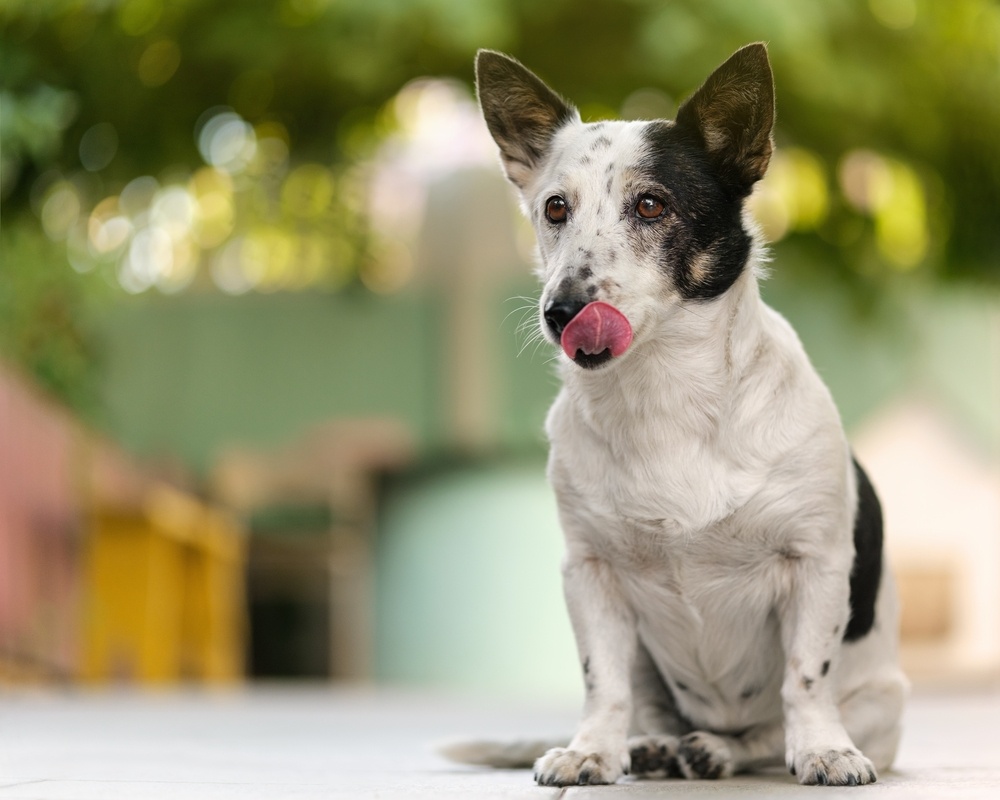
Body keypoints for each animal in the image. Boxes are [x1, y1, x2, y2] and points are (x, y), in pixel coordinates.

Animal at [442, 43, 912, 788]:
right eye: (555, 208)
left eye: (651, 204)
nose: (562, 311)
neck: (664, 395)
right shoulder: (590, 574)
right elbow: (601, 682)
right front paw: (590, 751)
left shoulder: (815, 565)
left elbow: (805, 679)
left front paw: (822, 749)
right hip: (646, 660)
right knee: (649, 707)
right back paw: (656, 746)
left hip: (880, 701)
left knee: (762, 735)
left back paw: (721, 748)